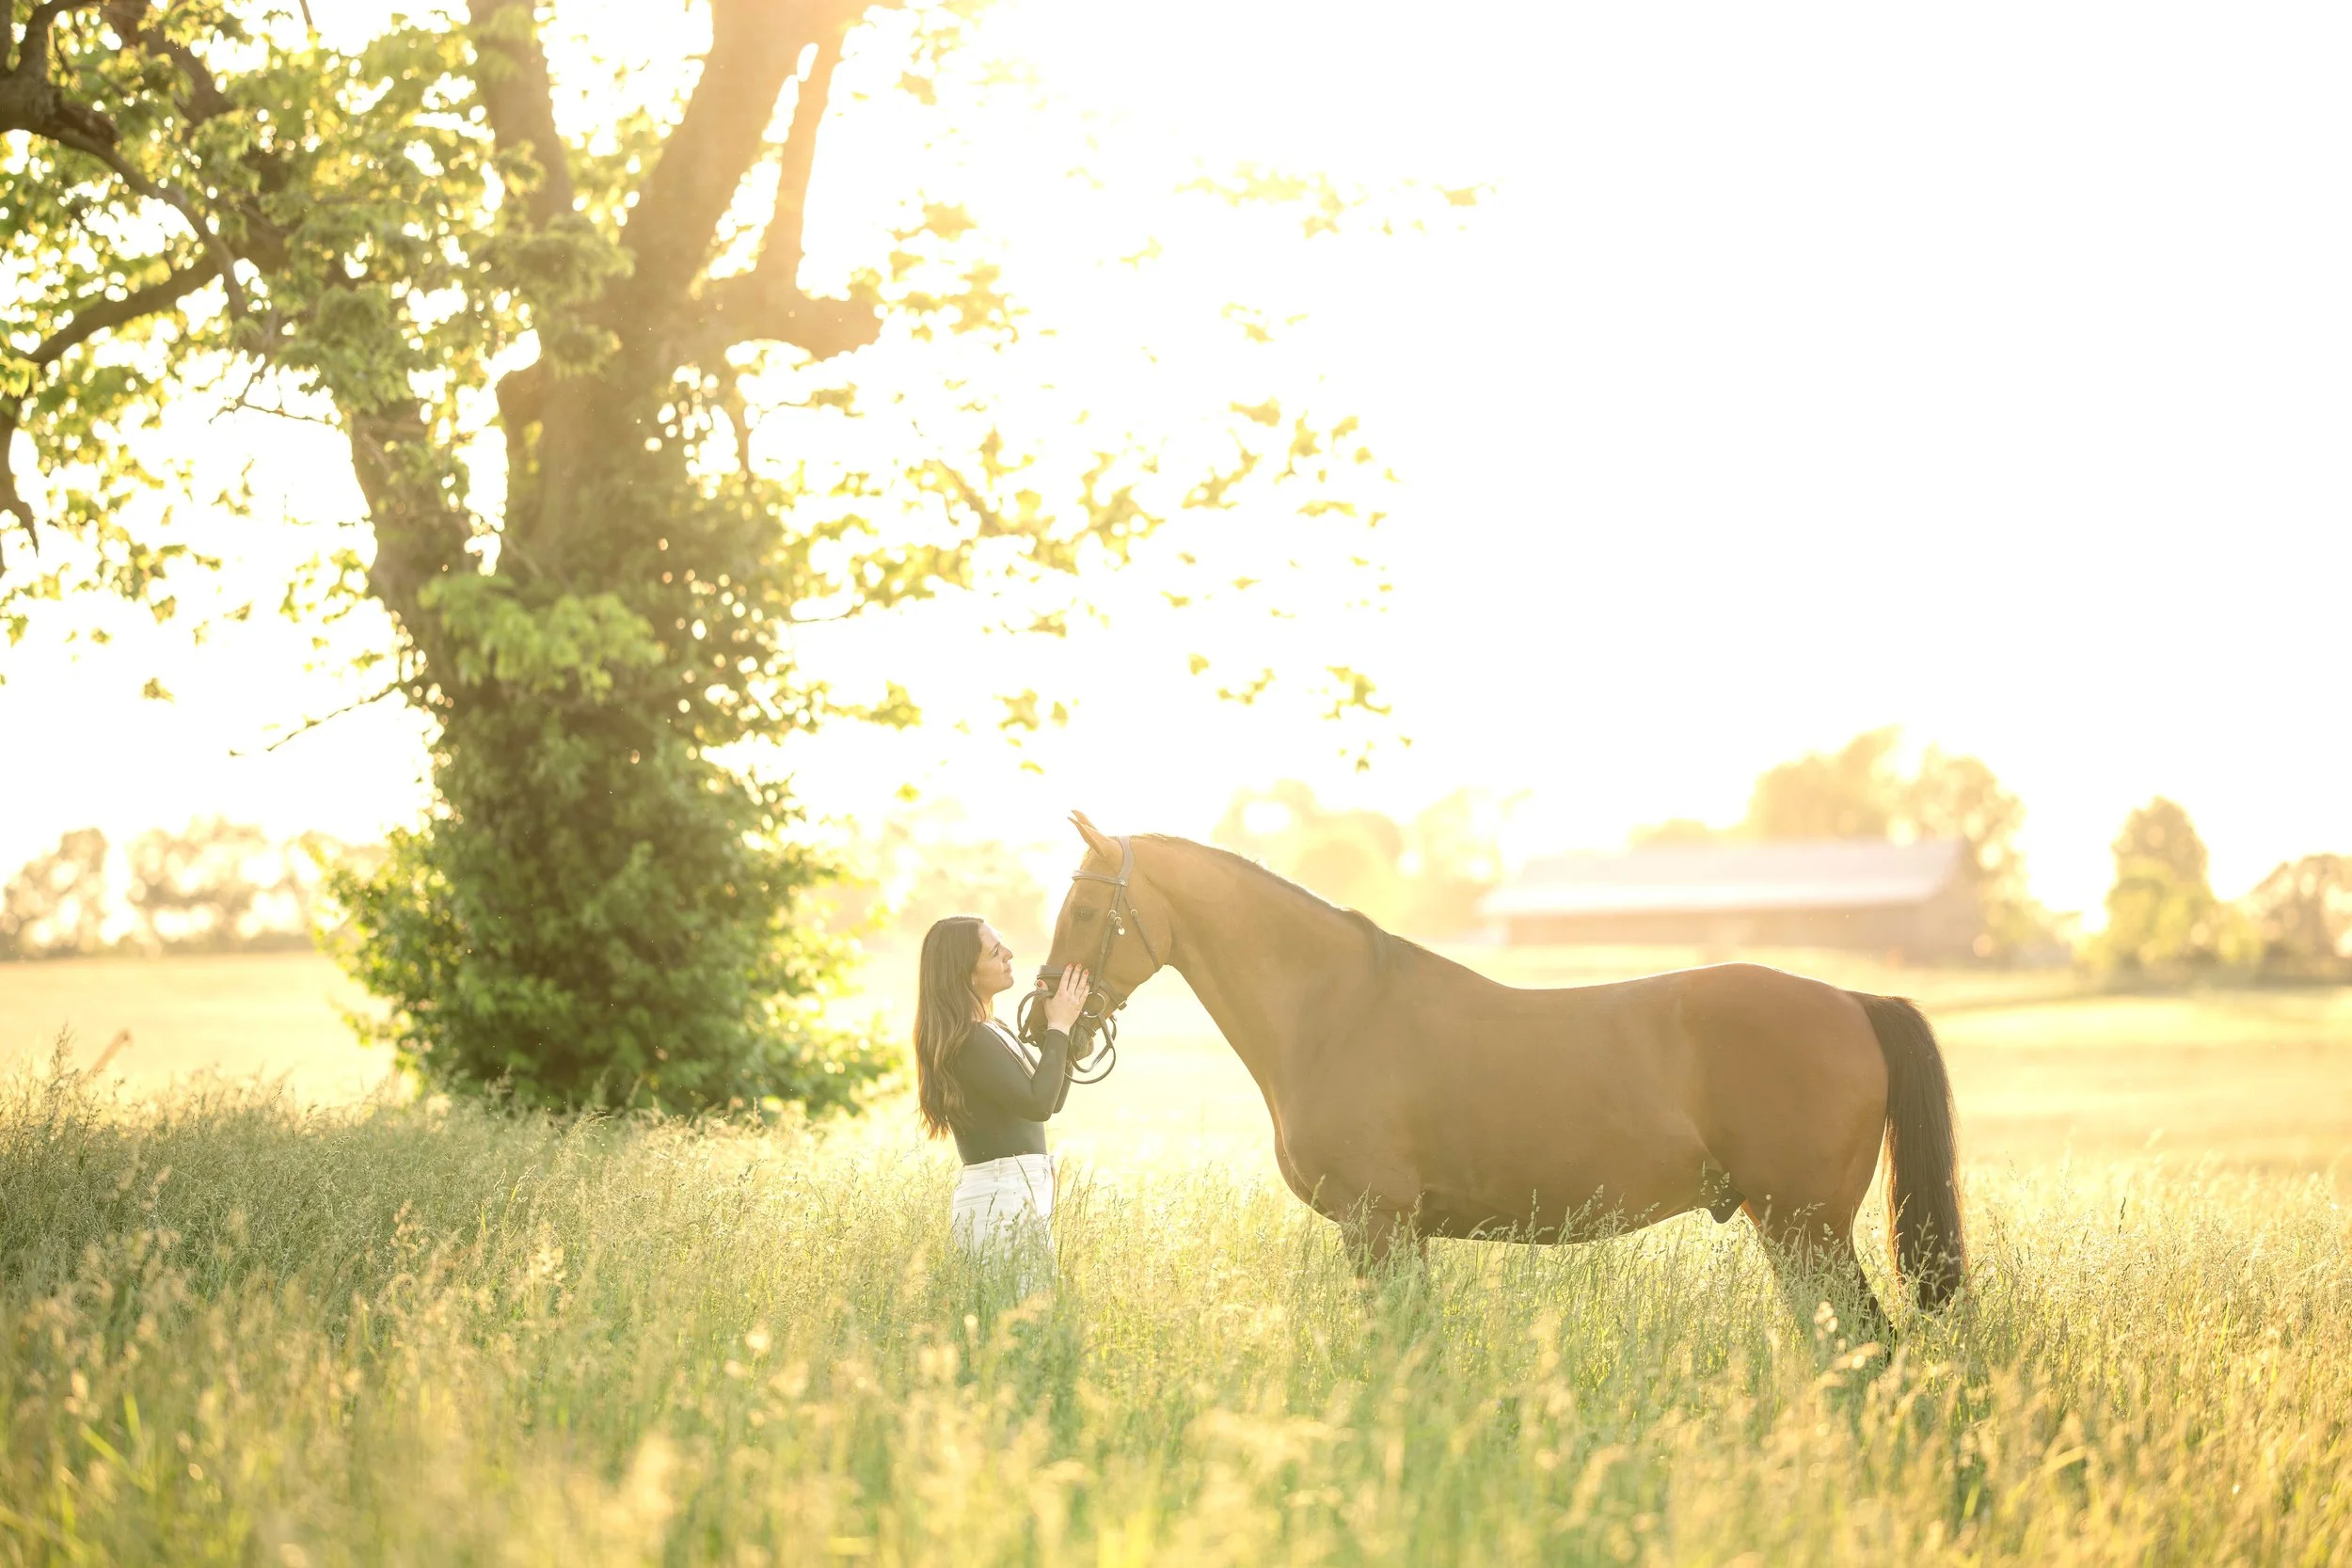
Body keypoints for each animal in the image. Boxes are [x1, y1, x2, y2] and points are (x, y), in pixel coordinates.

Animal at [1027, 813, 1967, 1329]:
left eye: (1088, 907)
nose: (1043, 1019)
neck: (1337, 1011)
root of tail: (1851, 1001)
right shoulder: (1394, 1232)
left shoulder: (1378, 1224)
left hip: (1807, 1228)